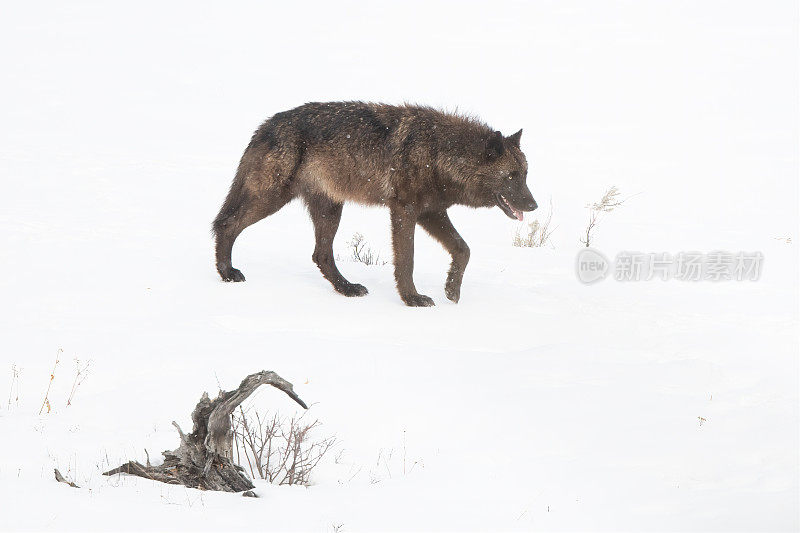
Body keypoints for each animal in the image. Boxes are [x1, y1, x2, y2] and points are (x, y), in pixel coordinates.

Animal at [212, 102, 536, 306]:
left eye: (525, 175)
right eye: (510, 176)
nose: (534, 206)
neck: (438, 152)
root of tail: (265, 125)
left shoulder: (430, 212)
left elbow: (463, 249)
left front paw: (451, 290)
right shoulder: (405, 210)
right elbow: (407, 260)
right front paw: (412, 299)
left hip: (330, 209)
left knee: (321, 255)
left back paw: (347, 289)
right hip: (271, 198)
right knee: (226, 224)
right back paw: (227, 274)